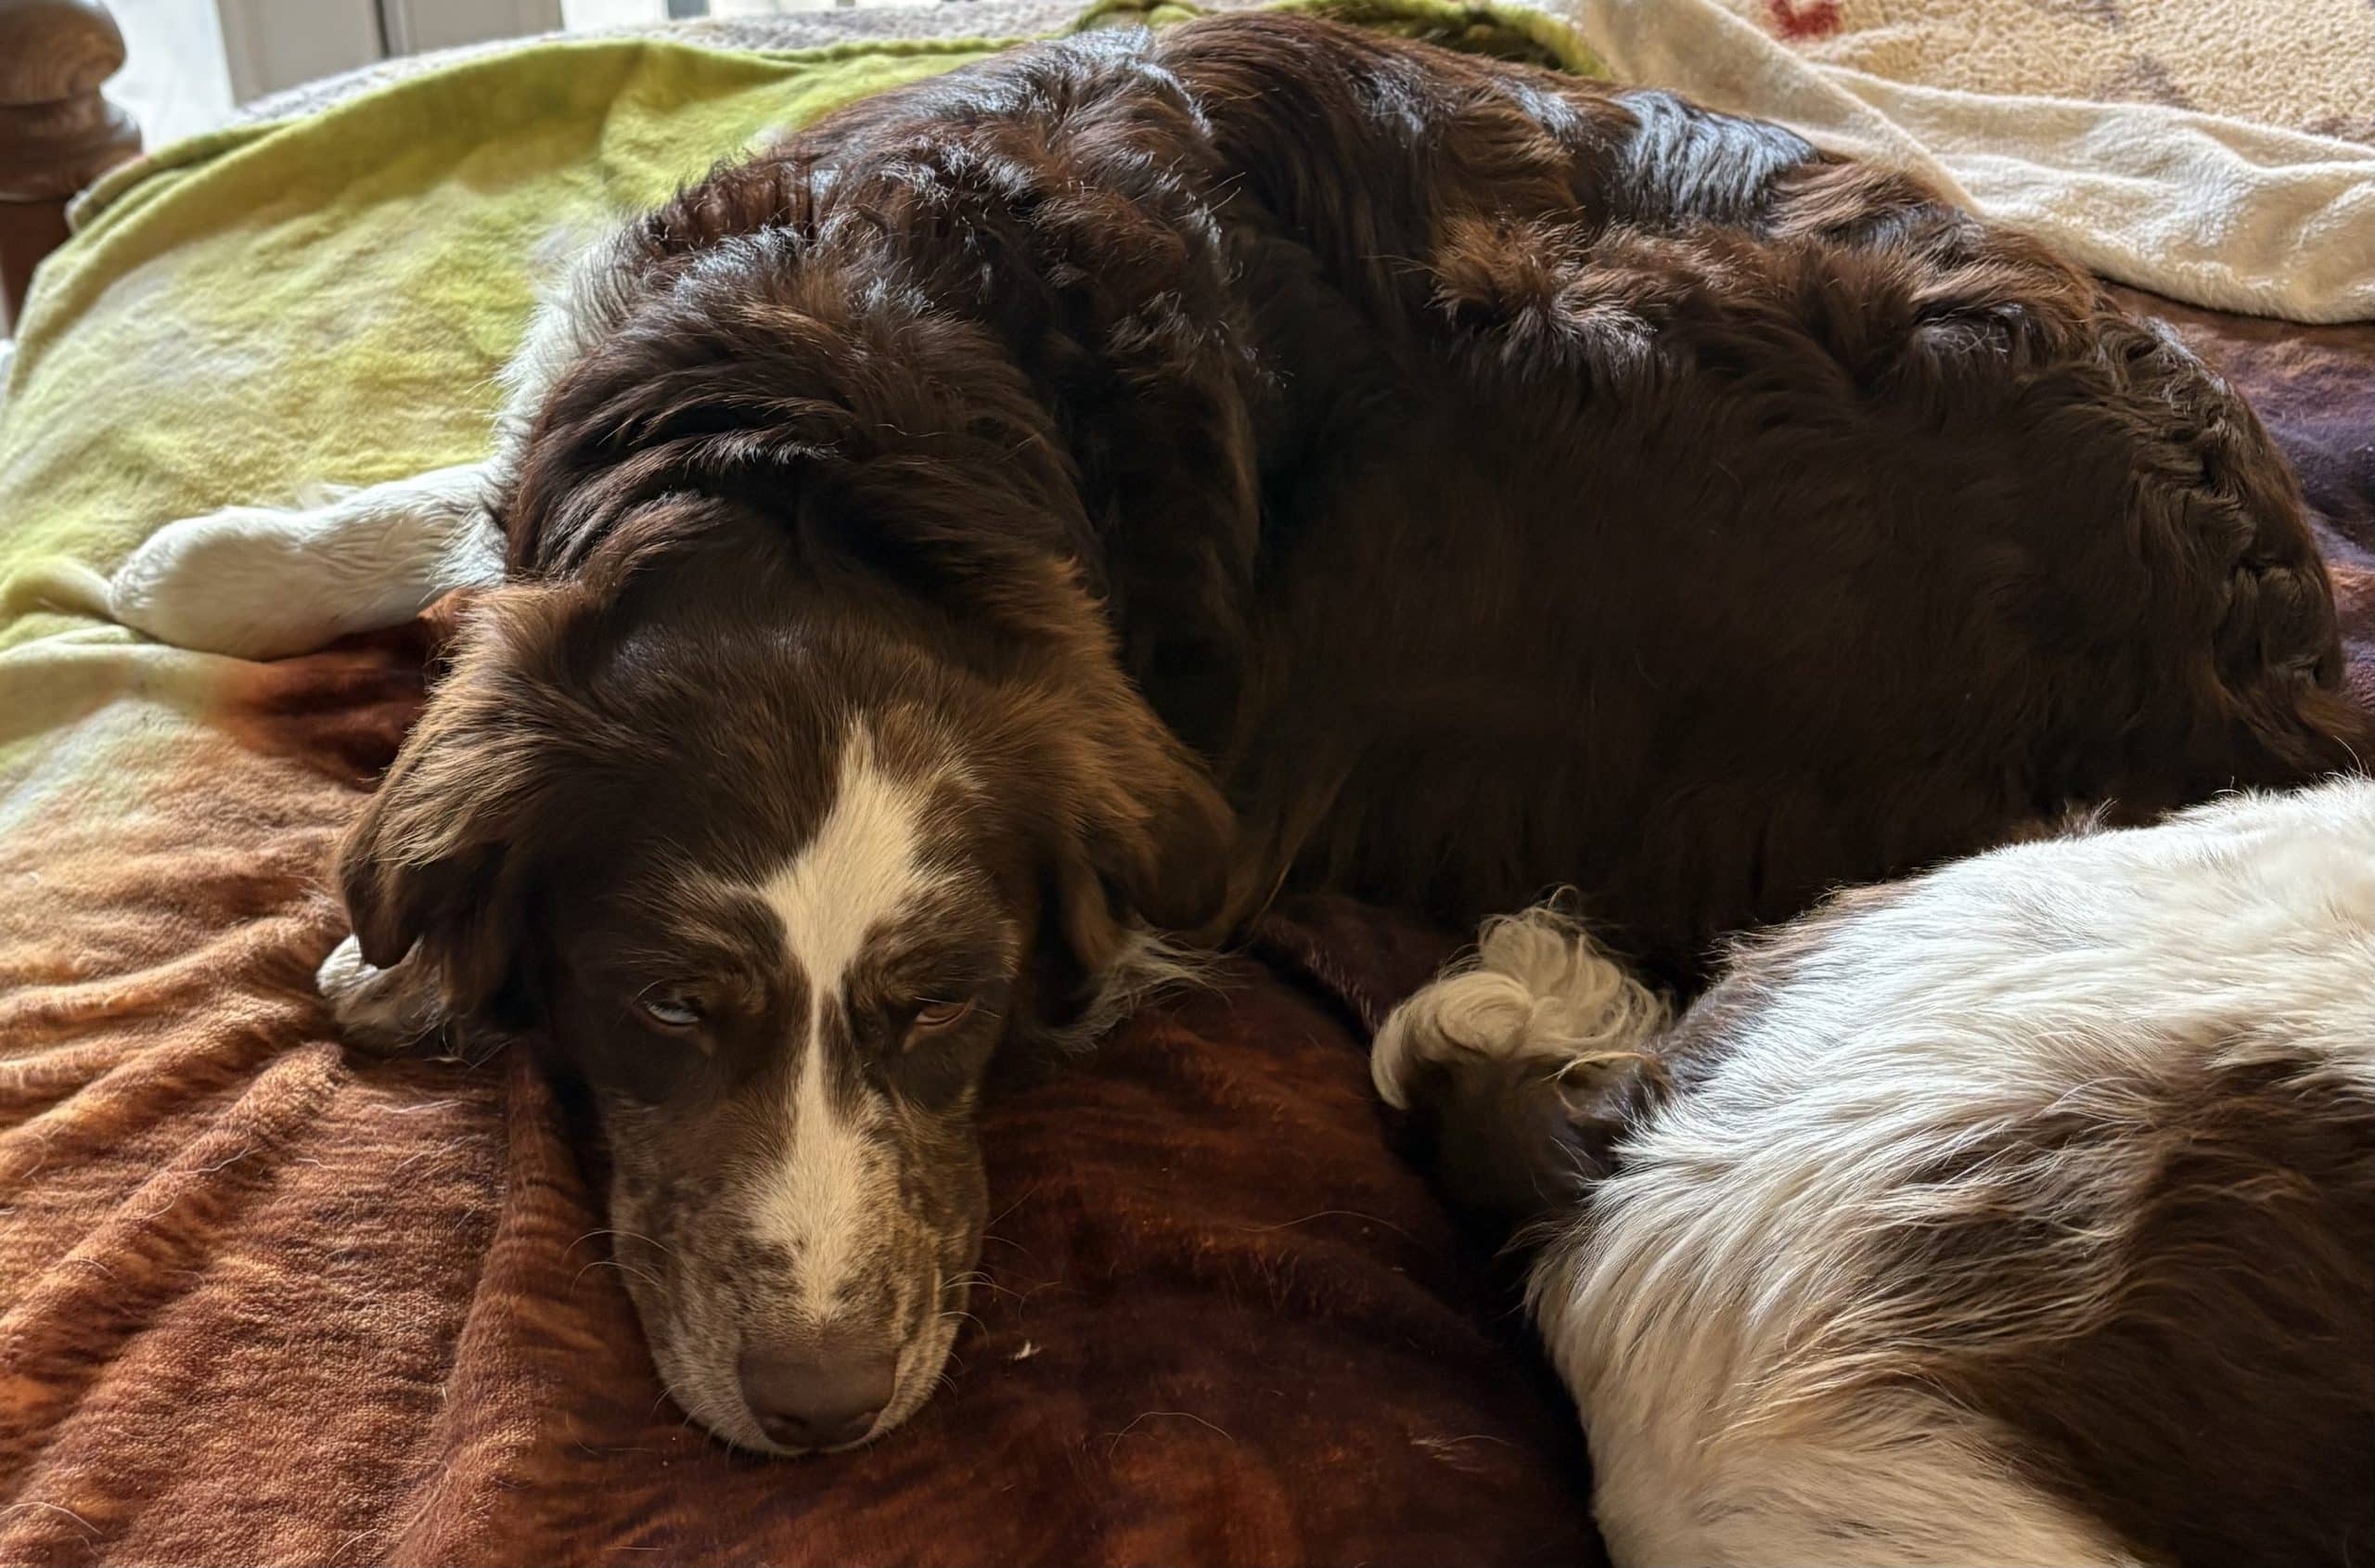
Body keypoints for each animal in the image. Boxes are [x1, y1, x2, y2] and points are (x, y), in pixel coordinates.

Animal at [111, 15, 2364, 1453]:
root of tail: (2283, 638)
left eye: (951, 1005)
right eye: (665, 1007)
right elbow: (451, 532)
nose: (823, 1411)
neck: (817, 434)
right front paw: (214, 561)